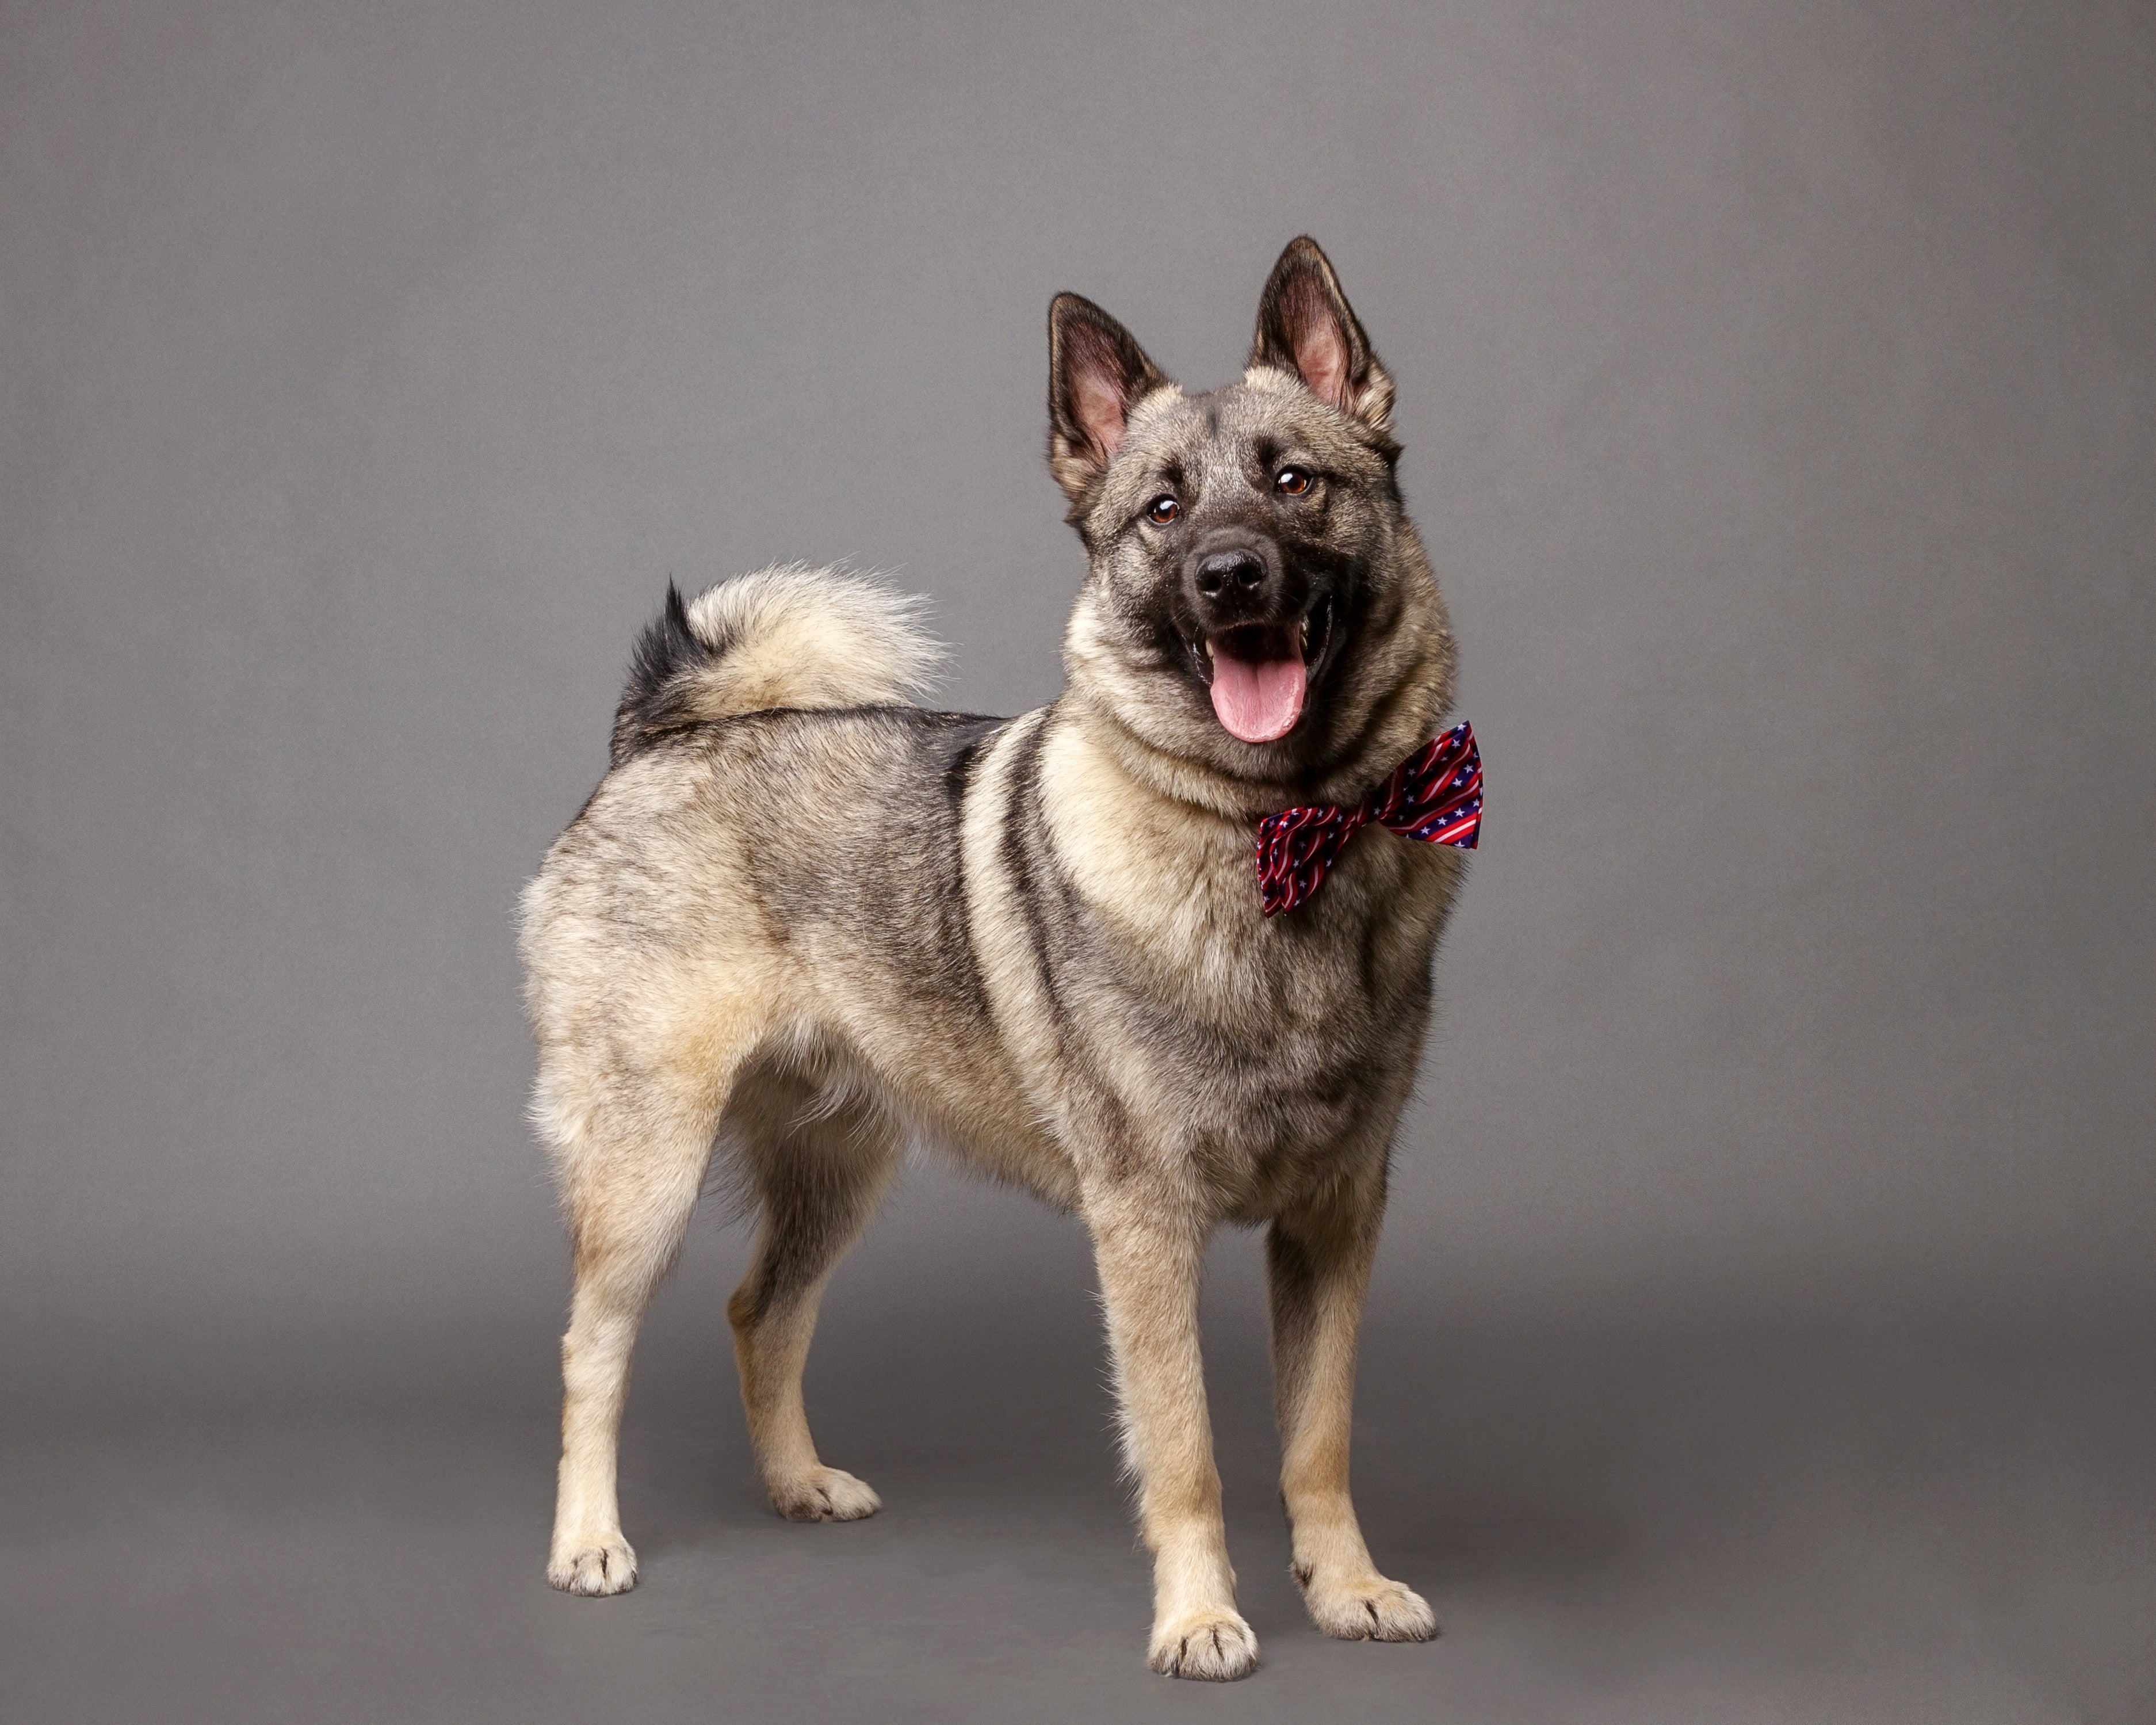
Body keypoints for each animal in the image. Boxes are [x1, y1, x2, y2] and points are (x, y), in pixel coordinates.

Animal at [513, 236, 1474, 1682]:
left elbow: (1318, 1436)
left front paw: (1346, 1585)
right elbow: (1185, 1450)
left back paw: (797, 1484)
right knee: (592, 1347)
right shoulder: (1145, 1228)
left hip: (837, 1168)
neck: (1275, 833)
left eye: (1293, 483)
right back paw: (586, 1542)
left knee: (760, 1312)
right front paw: (1201, 1617)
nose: (1228, 576)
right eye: (1159, 510)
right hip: (644, 1171)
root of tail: (657, 738)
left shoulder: (1332, 1220)